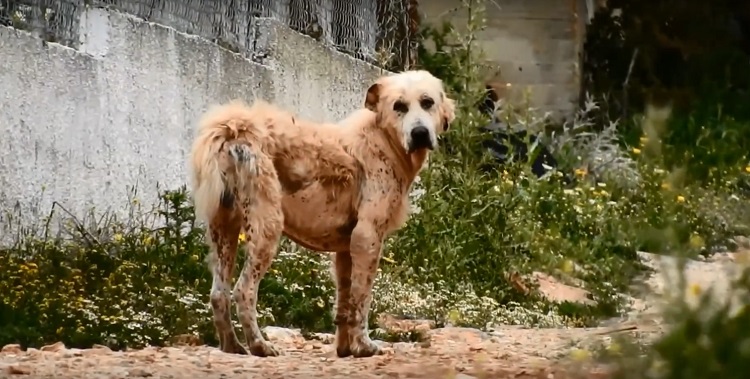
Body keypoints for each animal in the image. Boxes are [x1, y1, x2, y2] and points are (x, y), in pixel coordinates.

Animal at [189, 70, 458, 360]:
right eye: (399, 106)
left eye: (428, 102)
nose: (420, 133)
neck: (383, 140)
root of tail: (234, 129)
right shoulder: (368, 237)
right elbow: (361, 299)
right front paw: (365, 346)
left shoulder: (346, 249)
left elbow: (344, 303)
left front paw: (345, 349)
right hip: (267, 229)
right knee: (243, 291)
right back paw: (259, 346)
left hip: (224, 230)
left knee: (218, 294)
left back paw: (232, 346)